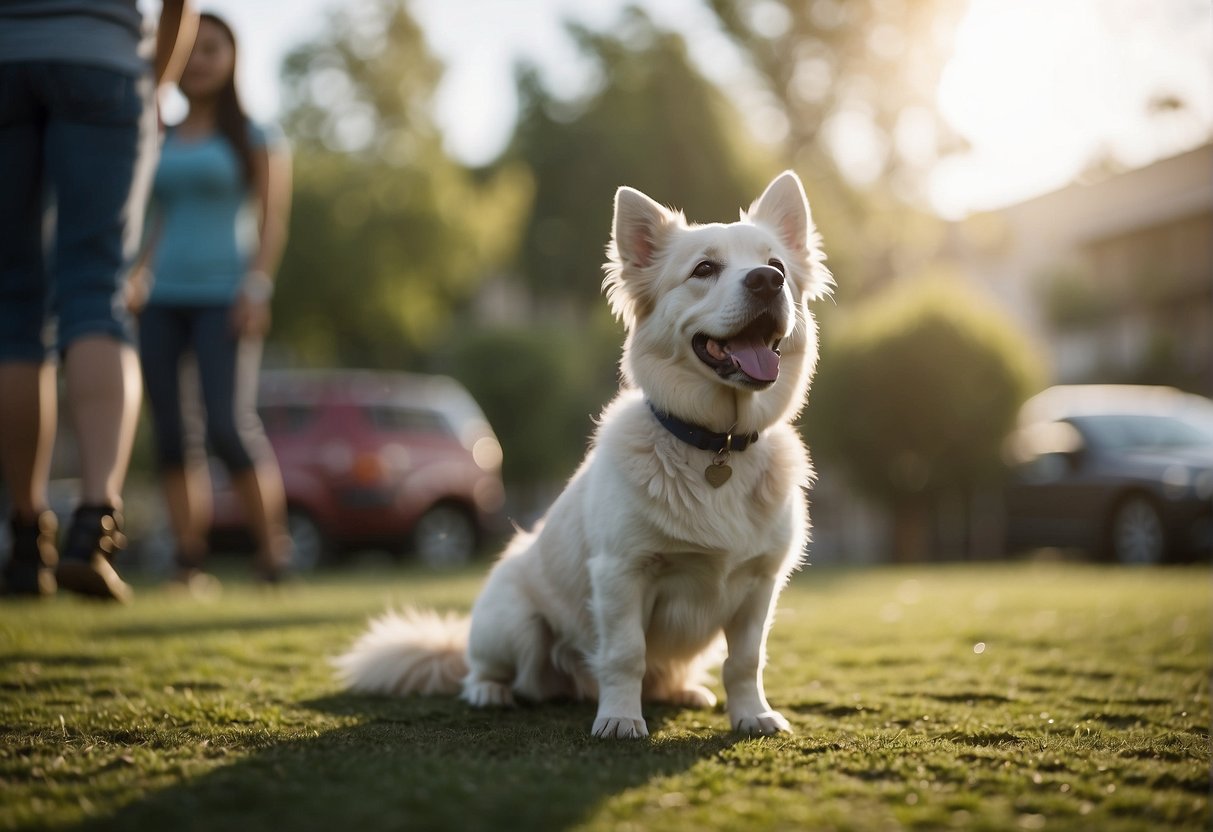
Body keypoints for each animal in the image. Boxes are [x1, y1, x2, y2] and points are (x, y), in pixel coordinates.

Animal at [342, 167, 834, 737]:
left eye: (777, 266)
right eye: (704, 269)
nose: (766, 281)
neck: (717, 446)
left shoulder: (759, 584)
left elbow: (745, 660)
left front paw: (752, 714)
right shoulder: (621, 573)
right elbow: (625, 654)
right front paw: (620, 719)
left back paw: (682, 690)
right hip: (511, 621)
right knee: (485, 670)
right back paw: (492, 691)